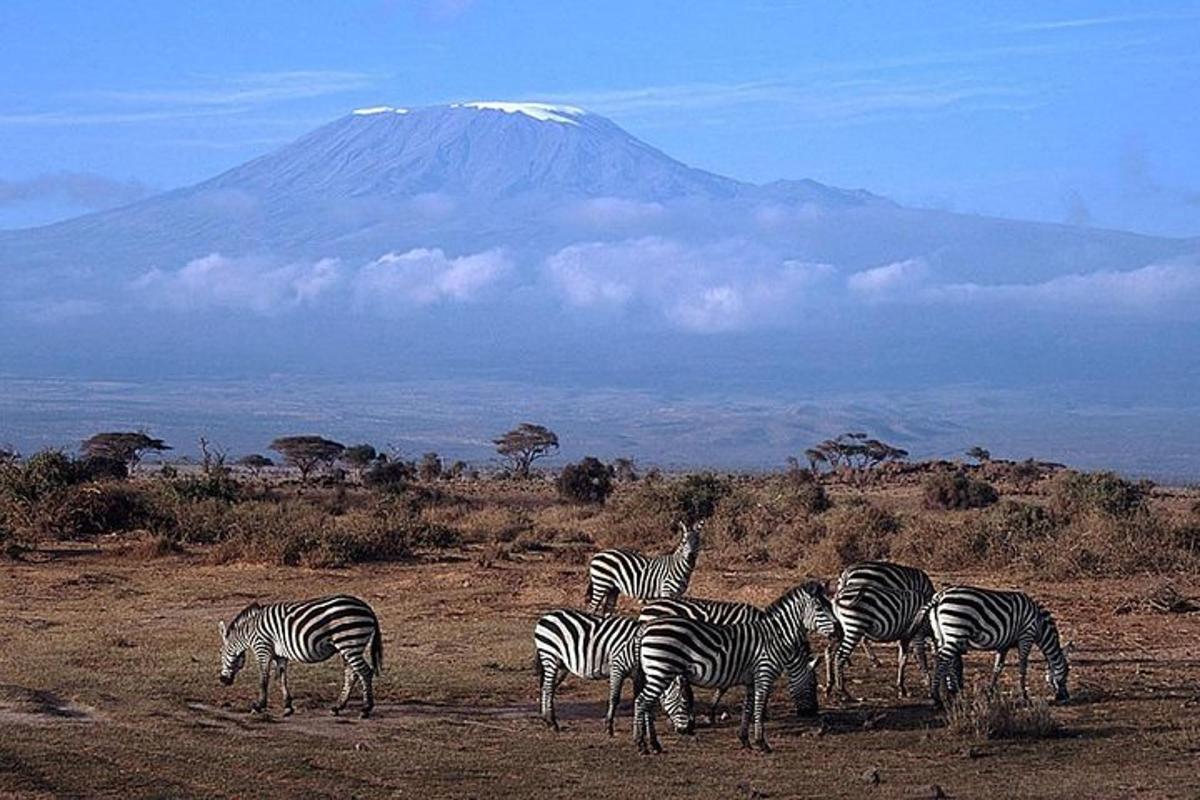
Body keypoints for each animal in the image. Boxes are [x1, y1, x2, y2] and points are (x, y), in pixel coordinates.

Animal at [216, 594, 381, 719]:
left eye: (221, 653)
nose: (222, 680)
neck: (250, 631)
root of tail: (367, 608)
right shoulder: (280, 655)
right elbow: (282, 678)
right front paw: (287, 707)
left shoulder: (262, 649)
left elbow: (263, 679)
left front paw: (258, 706)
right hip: (347, 647)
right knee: (351, 674)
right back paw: (337, 707)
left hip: (349, 642)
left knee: (365, 672)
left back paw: (365, 709)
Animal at [532, 609, 691, 734]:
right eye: (683, 702)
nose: (689, 730)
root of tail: (546, 616)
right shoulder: (617, 666)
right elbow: (615, 698)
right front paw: (609, 726)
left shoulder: (637, 674)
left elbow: (638, 698)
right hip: (550, 657)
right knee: (548, 688)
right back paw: (553, 723)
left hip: (562, 665)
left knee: (547, 687)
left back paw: (546, 720)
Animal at [633, 585, 830, 753]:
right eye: (812, 685)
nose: (811, 713)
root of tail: (648, 610)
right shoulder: (741, 662)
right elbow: (738, 694)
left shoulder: (738, 666)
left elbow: (739, 699)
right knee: (646, 700)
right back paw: (645, 741)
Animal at [921, 582, 1075, 705]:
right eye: (1067, 671)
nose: (1065, 697)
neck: (1039, 624)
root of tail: (939, 596)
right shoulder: (1026, 636)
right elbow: (1023, 666)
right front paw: (1024, 695)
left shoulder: (1004, 645)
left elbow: (998, 668)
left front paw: (990, 693)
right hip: (955, 632)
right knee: (942, 660)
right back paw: (936, 697)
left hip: (941, 635)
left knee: (941, 659)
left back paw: (949, 693)